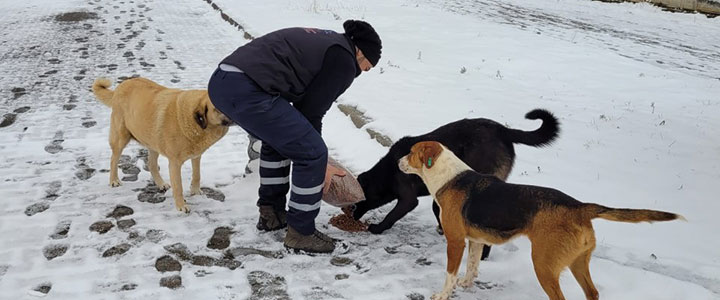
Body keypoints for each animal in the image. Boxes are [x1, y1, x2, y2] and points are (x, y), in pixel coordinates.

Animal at [90, 77, 231, 213]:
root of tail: (120, 86)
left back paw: (161, 184)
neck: (190, 119)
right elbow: (178, 186)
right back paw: (114, 180)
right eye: (218, 107)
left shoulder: (196, 156)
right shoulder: (175, 163)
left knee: (151, 165)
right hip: (121, 138)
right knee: (113, 159)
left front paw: (195, 192)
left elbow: (197, 175)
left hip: (153, 142)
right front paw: (181, 206)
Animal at [400, 141, 688, 300]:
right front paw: (468, 285)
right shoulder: (476, 240)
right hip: (577, 262)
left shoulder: (456, 242)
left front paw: (442, 295)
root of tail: (579, 207)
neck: (449, 177)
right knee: (592, 293)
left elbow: (449, 275)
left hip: (544, 265)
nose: (398, 160)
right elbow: (472, 268)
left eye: (411, 152)